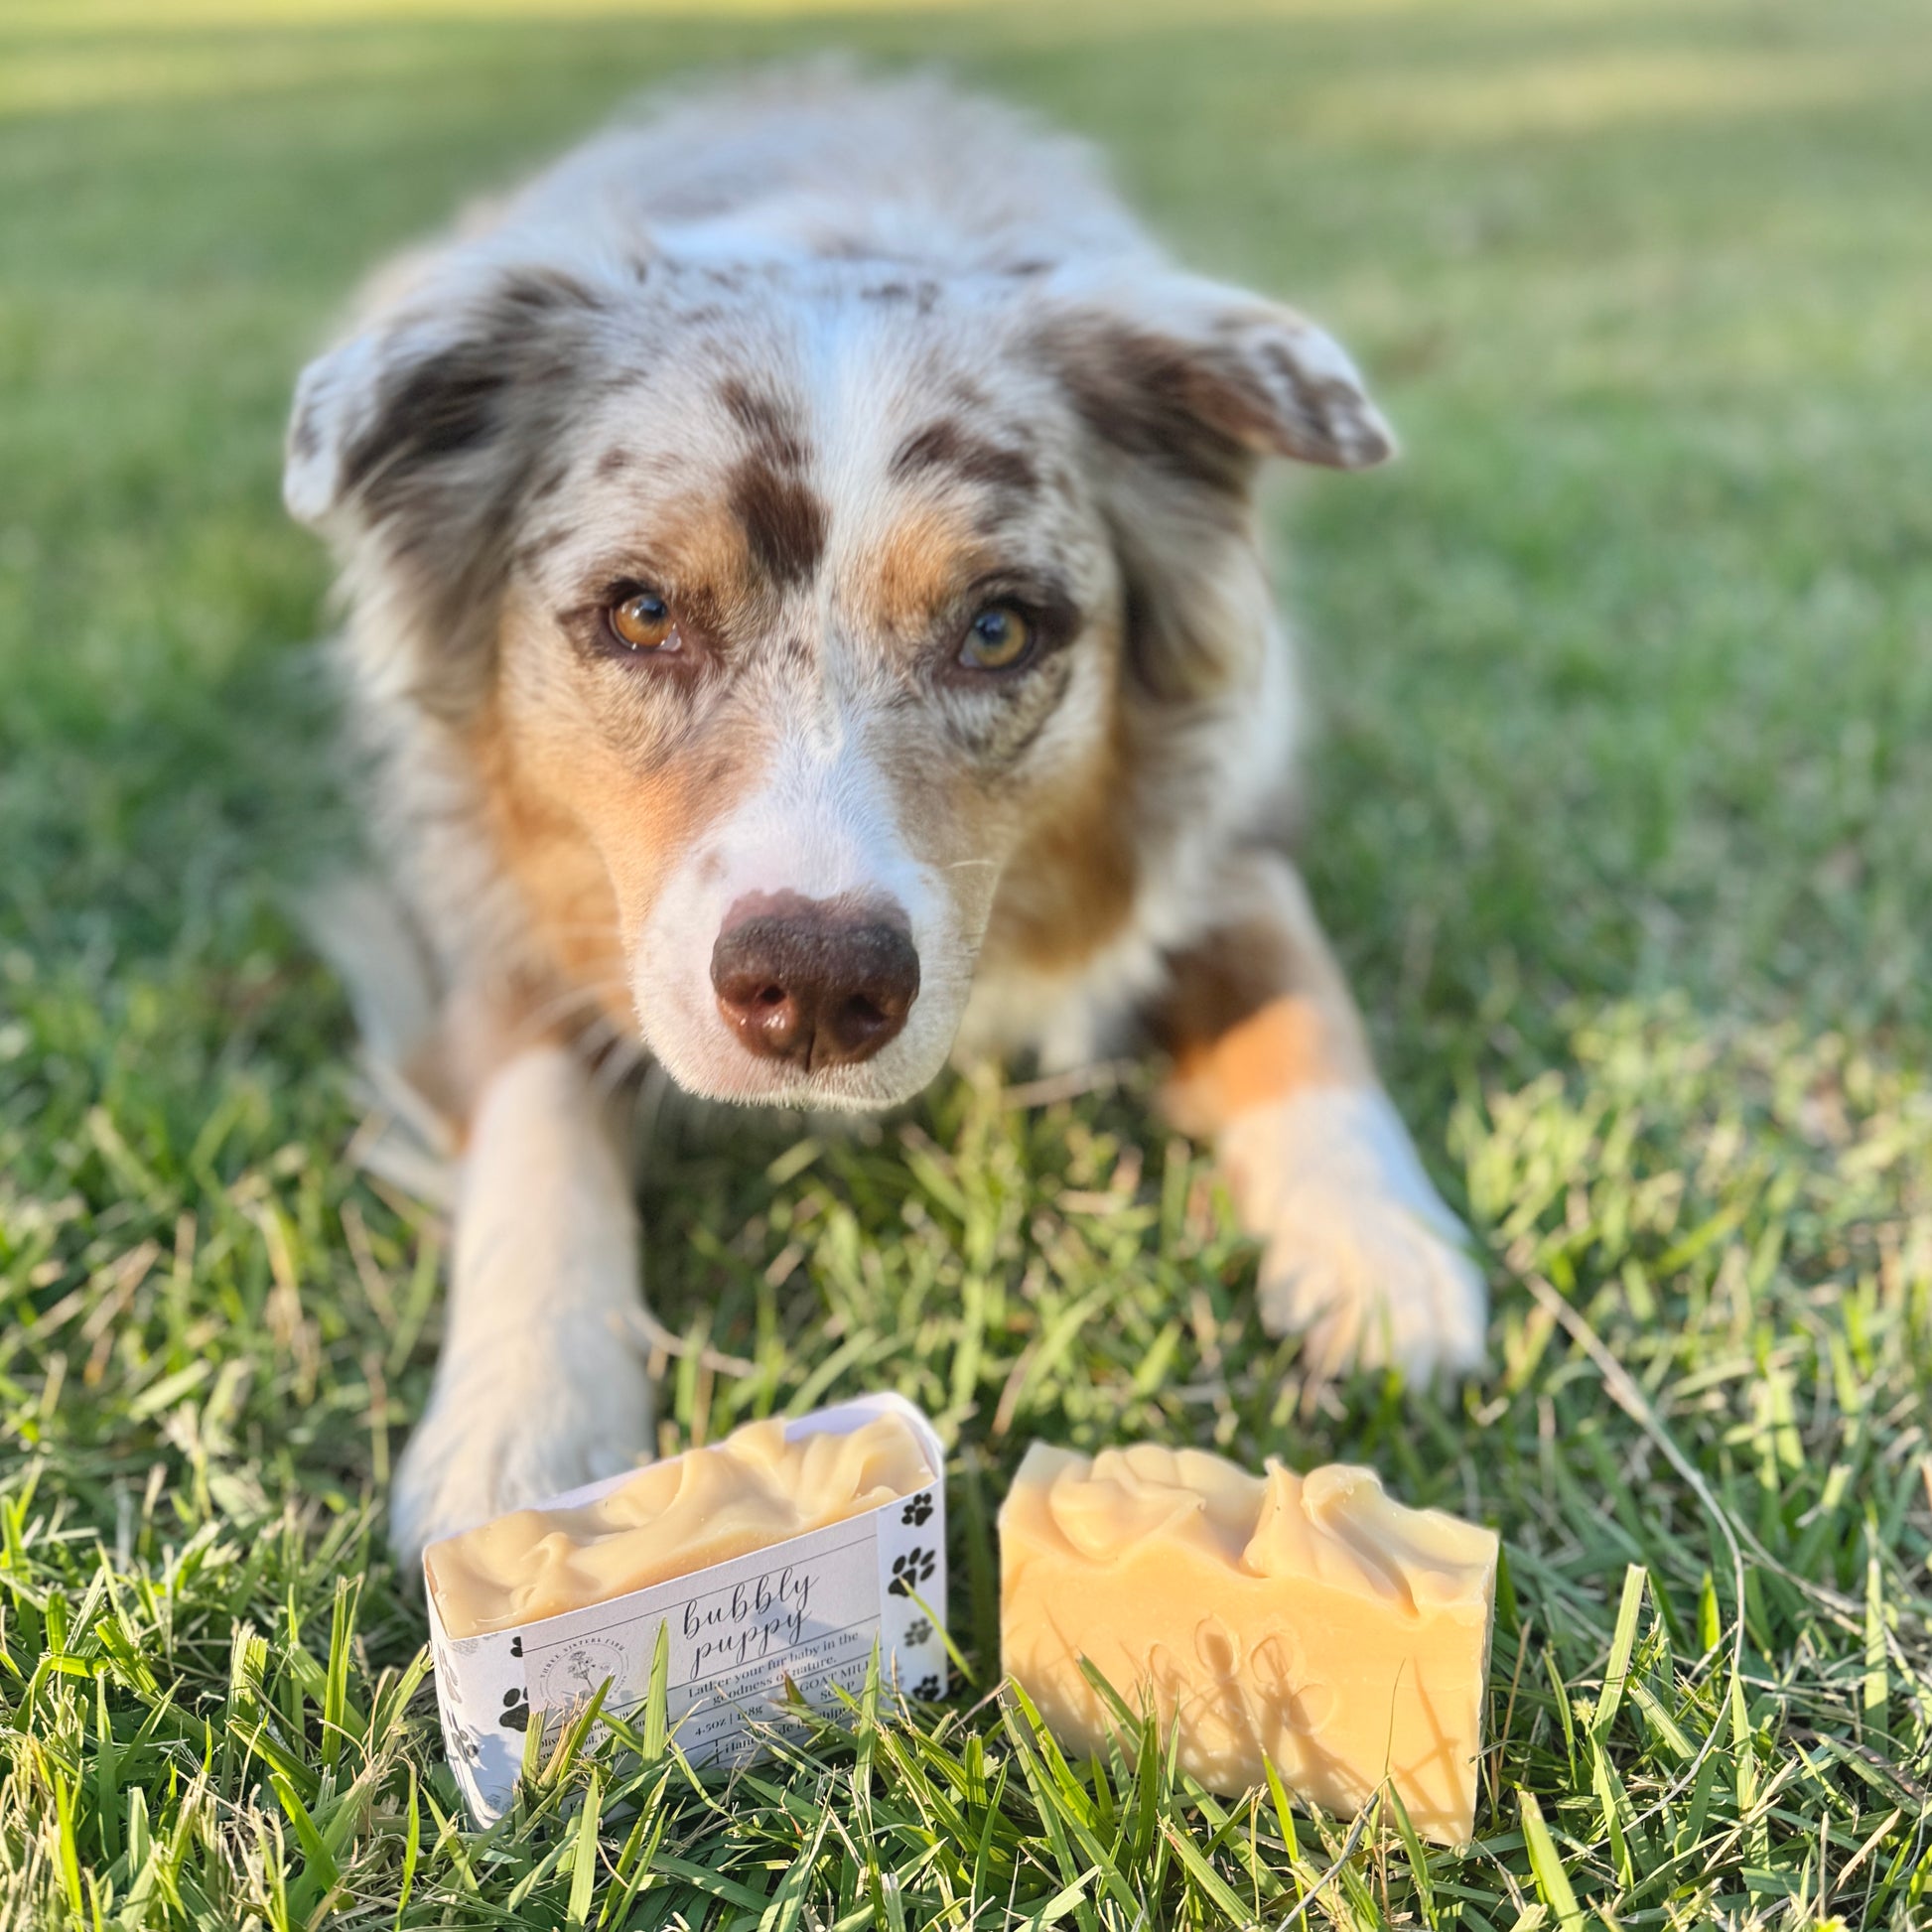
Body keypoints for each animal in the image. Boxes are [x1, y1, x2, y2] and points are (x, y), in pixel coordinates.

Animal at [286, 68, 1483, 1561]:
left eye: (996, 627)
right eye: (639, 613)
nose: (810, 986)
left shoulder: (1227, 837)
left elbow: (1296, 996)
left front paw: (1382, 1256)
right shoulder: (480, 902)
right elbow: (535, 1117)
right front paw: (523, 1423)